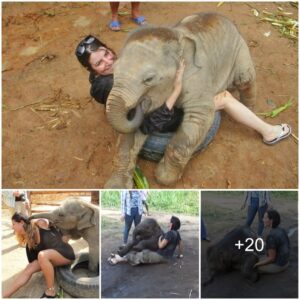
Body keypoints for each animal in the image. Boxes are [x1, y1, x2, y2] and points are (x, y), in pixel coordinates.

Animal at [105, 13, 255, 190]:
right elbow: (128, 138)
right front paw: (115, 187)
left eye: (149, 79)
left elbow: (199, 117)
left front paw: (164, 176)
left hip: (240, 49)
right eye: (113, 70)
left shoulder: (198, 78)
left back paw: (250, 107)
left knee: (245, 80)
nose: (141, 104)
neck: (176, 39)